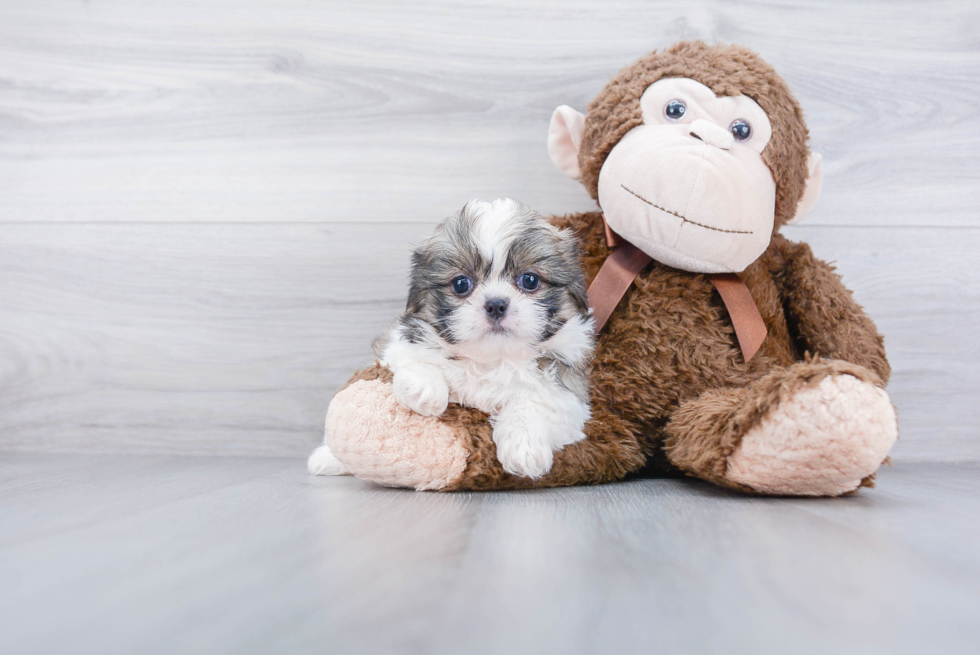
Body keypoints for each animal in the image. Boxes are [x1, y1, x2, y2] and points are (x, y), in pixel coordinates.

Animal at [310, 197, 592, 480]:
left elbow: (535, 401)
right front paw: (423, 388)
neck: (490, 358)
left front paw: (524, 448)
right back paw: (326, 459)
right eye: (461, 284)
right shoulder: (397, 343)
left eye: (530, 280)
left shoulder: (567, 390)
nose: (496, 305)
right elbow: (413, 355)